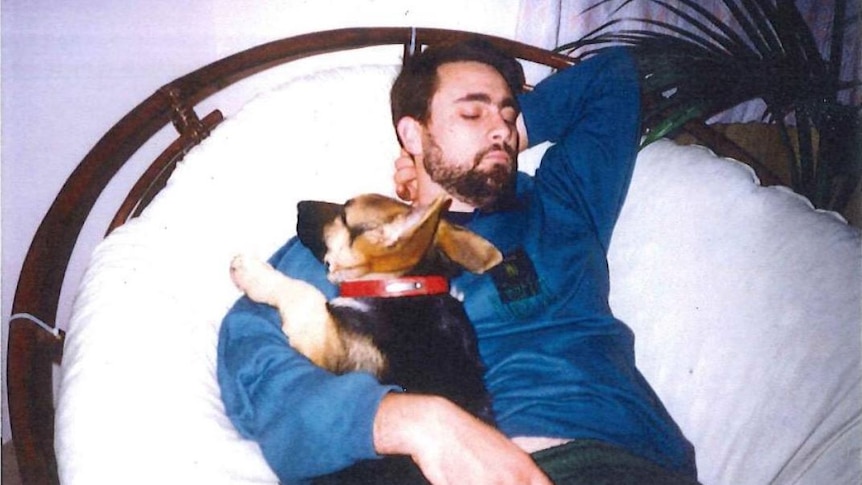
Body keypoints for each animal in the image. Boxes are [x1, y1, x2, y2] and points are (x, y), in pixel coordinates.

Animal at [230, 192, 502, 480]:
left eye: (344, 215)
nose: (299, 204)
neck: (398, 287)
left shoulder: (328, 345)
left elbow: (305, 292)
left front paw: (253, 273)